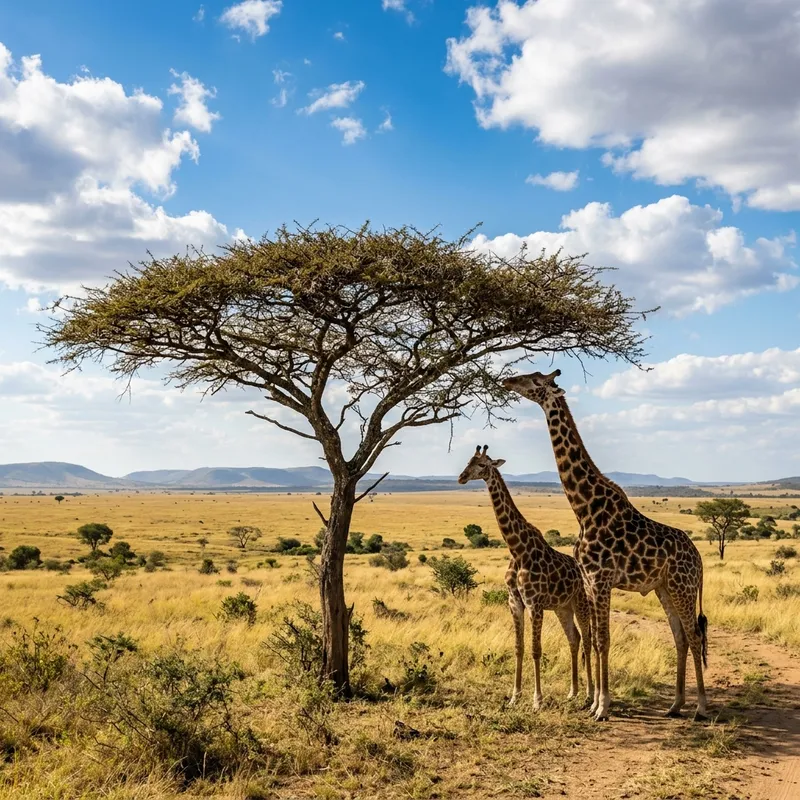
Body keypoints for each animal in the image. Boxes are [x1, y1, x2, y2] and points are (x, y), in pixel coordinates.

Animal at [458, 445, 595, 709]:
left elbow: (535, 649)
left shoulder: (535, 603)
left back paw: (589, 694)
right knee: (573, 638)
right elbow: (519, 648)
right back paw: (572, 692)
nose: (461, 477)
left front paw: (537, 700)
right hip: (563, 607)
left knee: (587, 639)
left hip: (582, 603)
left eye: (483, 465)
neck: (517, 550)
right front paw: (514, 696)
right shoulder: (515, 602)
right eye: (468, 461)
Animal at [502, 370, 708, 722]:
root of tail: (699, 560)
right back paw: (675, 705)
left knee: (694, 635)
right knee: (680, 637)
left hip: (683, 586)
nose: (507, 381)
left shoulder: (601, 580)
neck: (585, 509)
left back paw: (701, 708)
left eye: (535, 380)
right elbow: (597, 640)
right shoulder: (589, 581)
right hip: (664, 587)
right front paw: (594, 703)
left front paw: (602, 707)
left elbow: (603, 639)